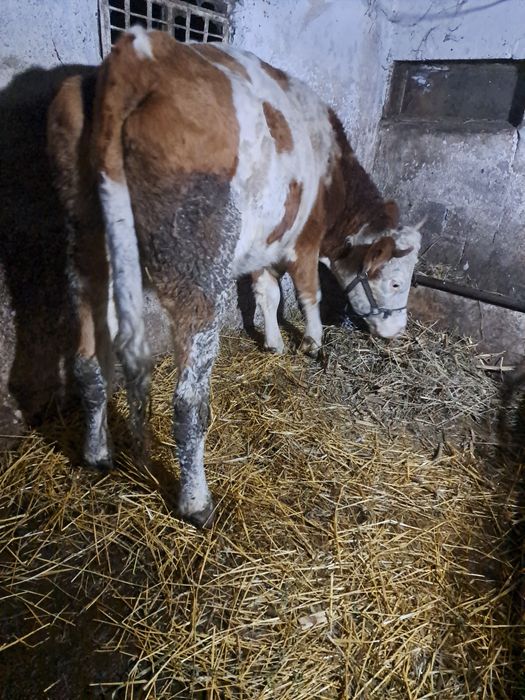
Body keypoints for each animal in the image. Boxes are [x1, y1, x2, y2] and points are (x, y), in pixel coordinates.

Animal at [47, 27, 421, 527]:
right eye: (396, 282)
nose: (397, 330)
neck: (332, 175)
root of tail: (143, 51)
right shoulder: (304, 241)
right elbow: (307, 293)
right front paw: (313, 343)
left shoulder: (264, 244)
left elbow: (266, 293)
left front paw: (274, 343)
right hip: (198, 272)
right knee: (188, 400)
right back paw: (197, 503)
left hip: (85, 252)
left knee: (90, 364)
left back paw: (96, 455)